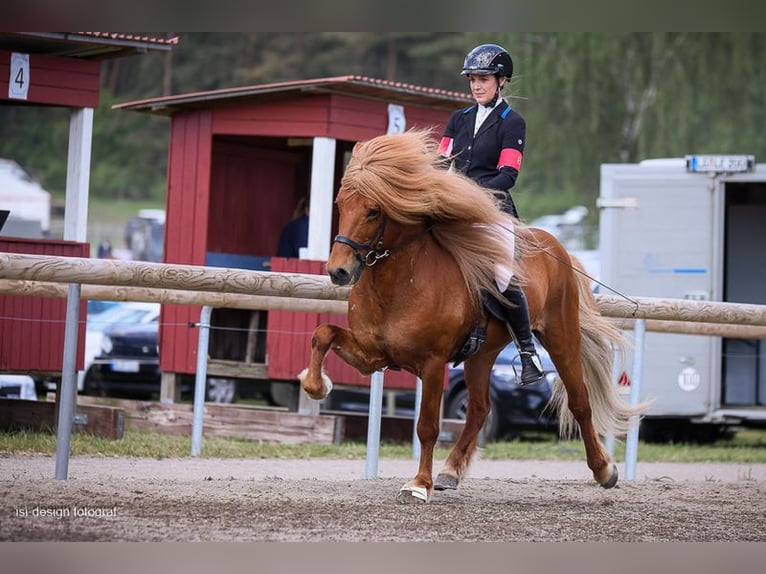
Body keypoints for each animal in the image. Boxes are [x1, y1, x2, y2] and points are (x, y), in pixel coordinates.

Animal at [300, 130, 648, 504]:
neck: (398, 283)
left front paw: (419, 484)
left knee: (580, 400)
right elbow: (323, 333)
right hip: (482, 355)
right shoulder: (373, 355)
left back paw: (604, 470)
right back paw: (450, 472)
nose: (338, 271)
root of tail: (556, 247)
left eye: (373, 211)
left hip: (561, 335)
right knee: (480, 409)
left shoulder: (433, 363)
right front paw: (316, 385)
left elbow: (427, 426)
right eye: (340, 204)